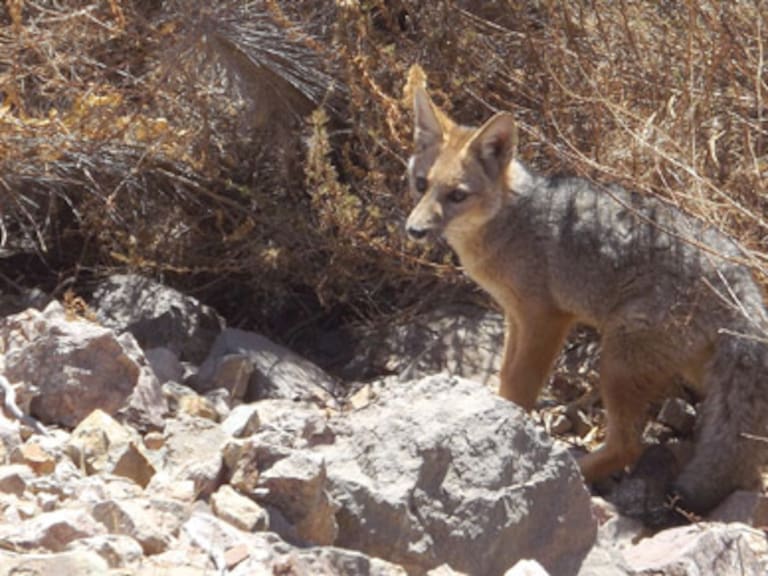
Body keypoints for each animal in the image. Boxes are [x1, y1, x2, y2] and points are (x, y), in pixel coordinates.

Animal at [403, 65, 768, 521]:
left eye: (457, 196)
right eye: (421, 184)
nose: (413, 230)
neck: (513, 219)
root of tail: (739, 278)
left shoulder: (548, 320)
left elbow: (520, 385)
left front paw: (512, 440)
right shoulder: (515, 317)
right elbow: (505, 375)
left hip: (616, 362)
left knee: (629, 446)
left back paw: (575, 473)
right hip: (688, 370)